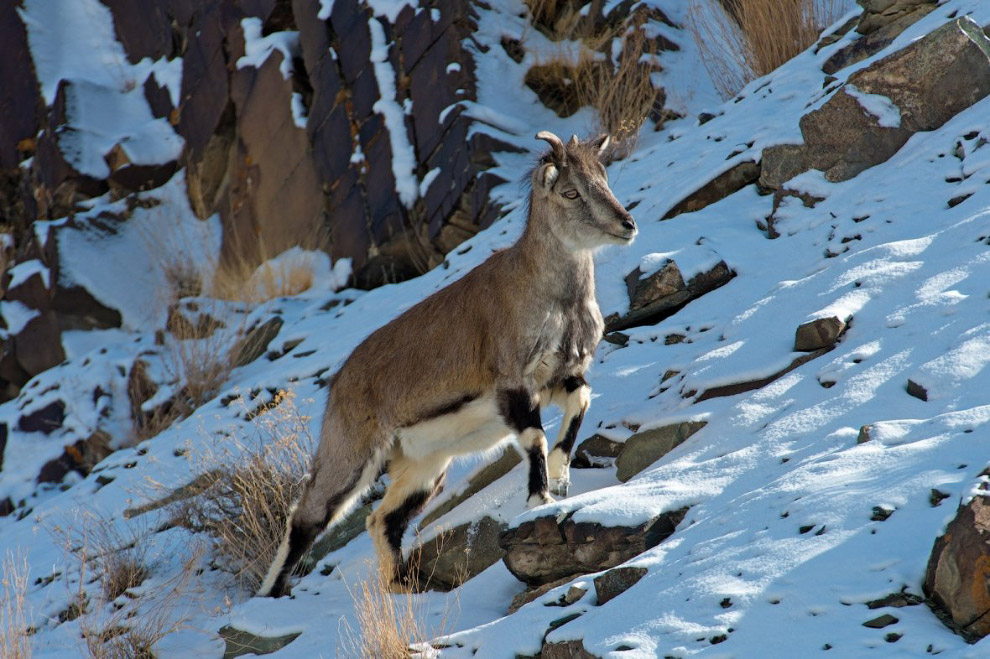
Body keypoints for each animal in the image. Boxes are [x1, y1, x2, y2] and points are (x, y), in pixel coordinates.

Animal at [260, 130, 640, 600]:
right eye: (570, 191)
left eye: (603, 177)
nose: (626, 224)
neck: (553, 296)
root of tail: (338, 384)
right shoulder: (514, 384)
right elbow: (533, 438)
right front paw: (540, 500)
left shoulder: (562, 377)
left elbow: (579, 406)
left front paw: (559, 479)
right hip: (350, 456)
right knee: (308, 515)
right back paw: (272, 594)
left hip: (425, 464)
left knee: (383, 519)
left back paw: (402, 586)